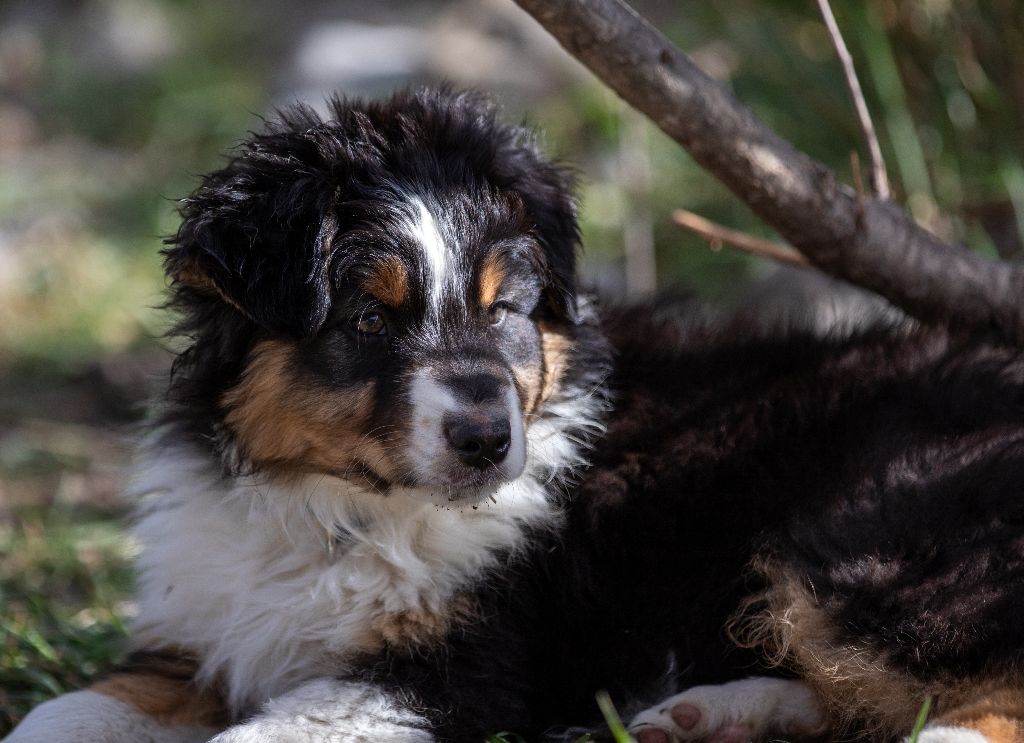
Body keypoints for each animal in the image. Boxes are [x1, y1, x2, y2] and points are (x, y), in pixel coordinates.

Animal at [6, 88, 1024, 743]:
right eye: (370, 317)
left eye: (504, 309)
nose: (490, 440)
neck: (336, 509)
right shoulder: (199, 631)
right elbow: (63, 710)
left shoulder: (454, 671)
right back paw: (708, 716)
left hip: (872, 535)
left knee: (978, 692)